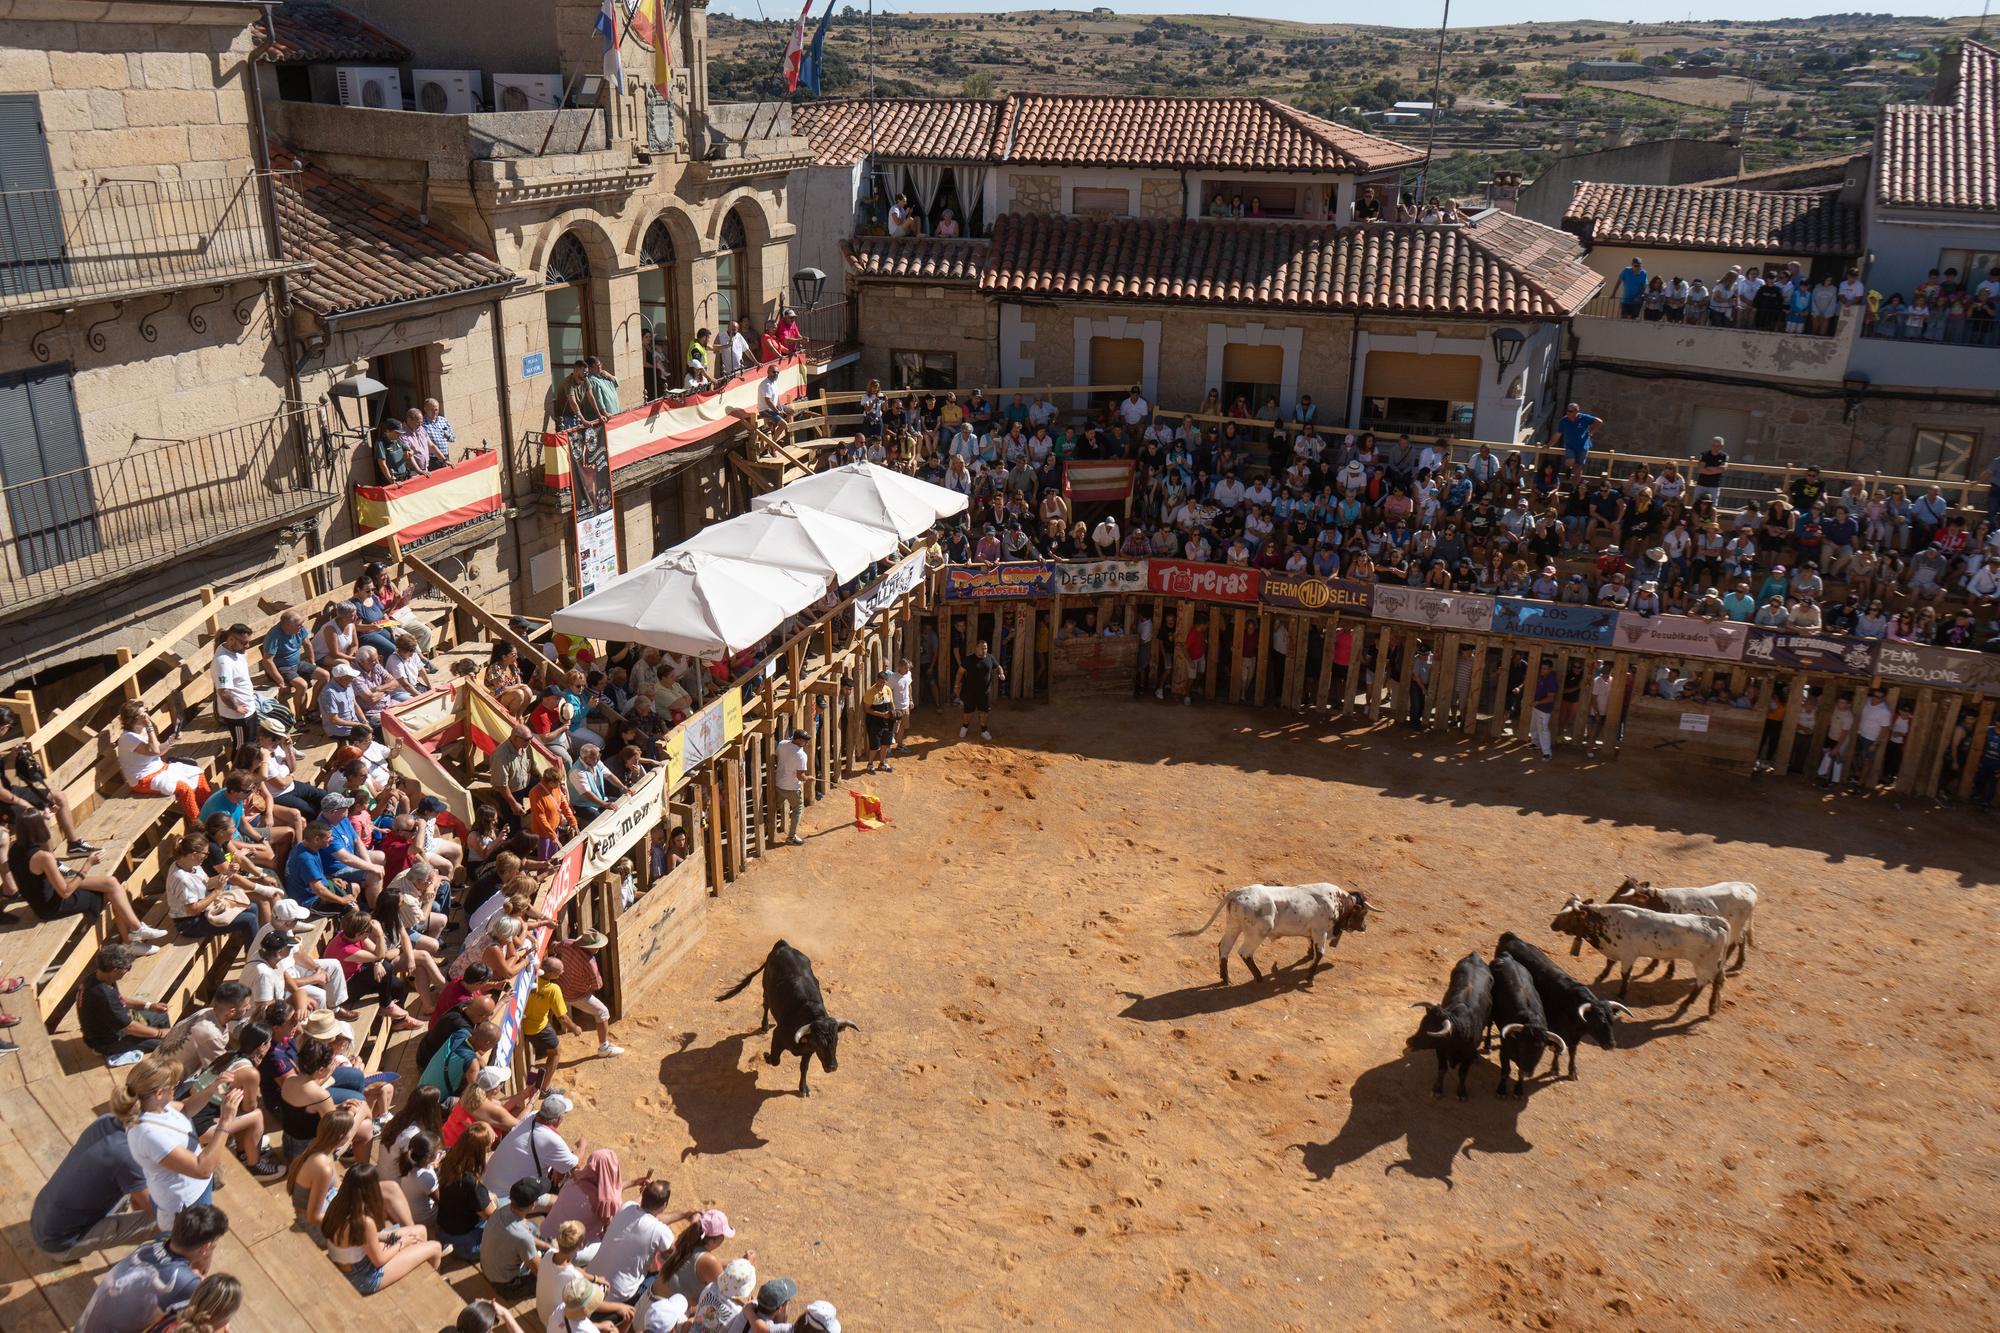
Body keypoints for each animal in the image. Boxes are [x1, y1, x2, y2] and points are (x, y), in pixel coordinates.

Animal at [716, 932, 856, 1088]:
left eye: (836, 1041)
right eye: (819, 1043)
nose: (832, 1067)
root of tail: (783, 945)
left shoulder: (808, 1052)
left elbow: (804, 1068)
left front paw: (803, 1087)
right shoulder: (777, 1036)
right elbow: (775, 1060)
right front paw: (766, 1056)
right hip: (766, 991)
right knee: (766, 1006)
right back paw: (765, 1026)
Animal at [1168, 876, 1376, 980]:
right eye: (1363, 913)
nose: (1364, 927)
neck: (1338, 902)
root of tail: (1238, 892)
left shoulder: (1312, 932)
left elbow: (1311, 946)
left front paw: (1307, 956)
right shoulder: (1320, 932)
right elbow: (1320, 954)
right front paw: (1310, 976)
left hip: (1234, 925)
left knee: (1224, 947)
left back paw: (1226, 979)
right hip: (1256, 933)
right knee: (1245, 953)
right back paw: (1259, 977)